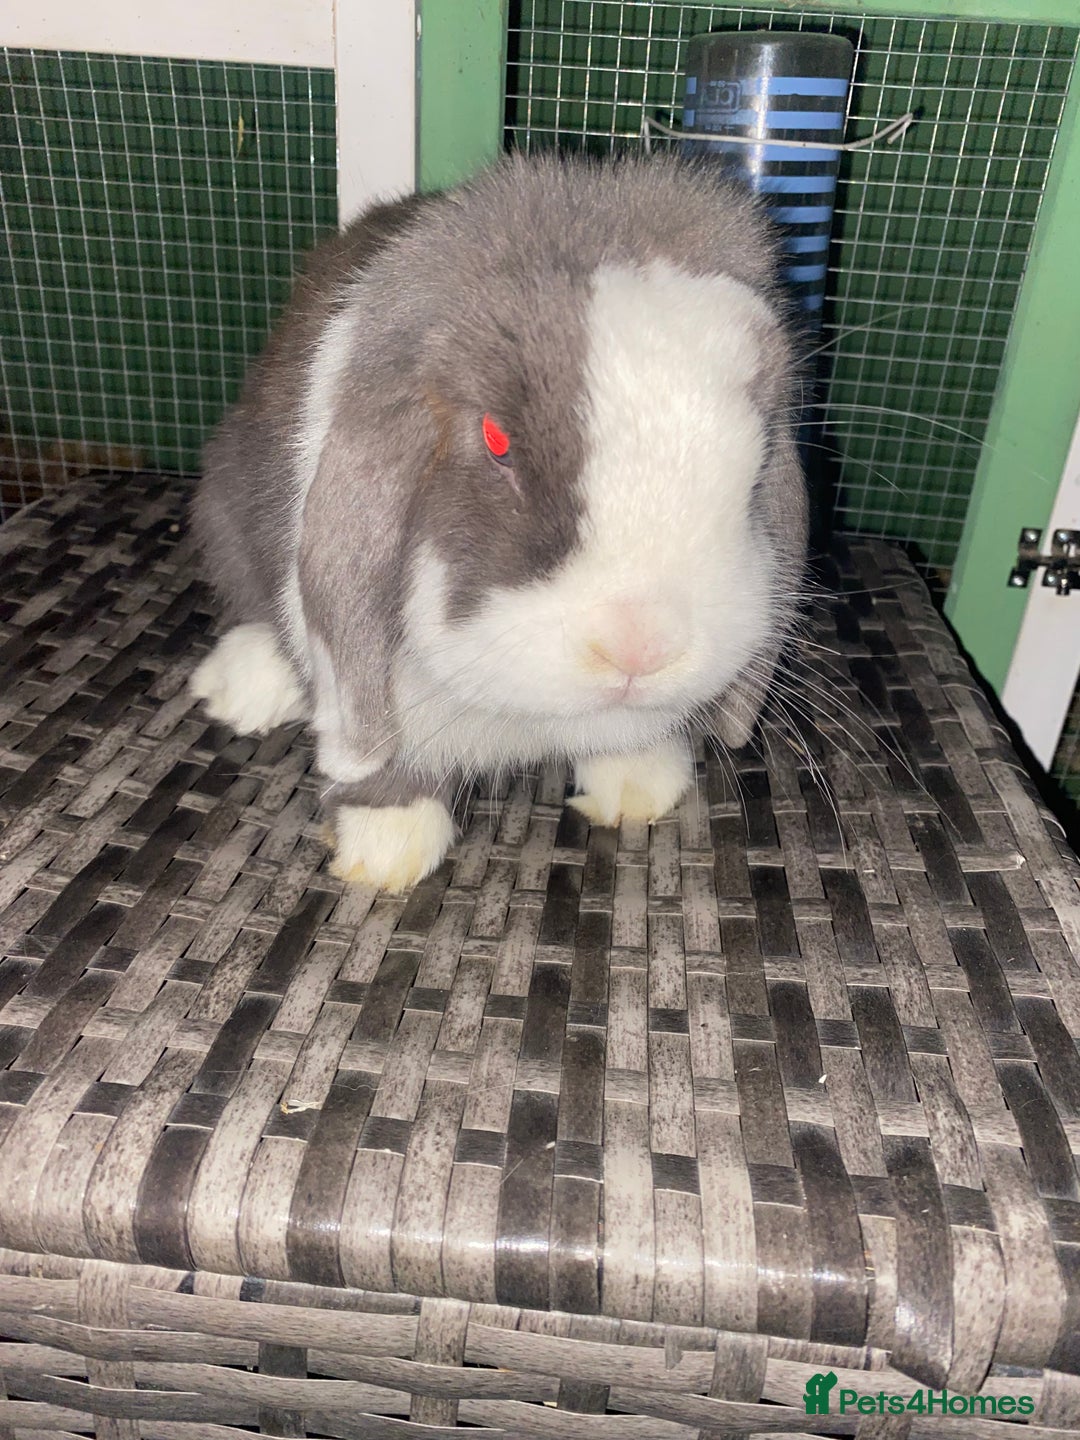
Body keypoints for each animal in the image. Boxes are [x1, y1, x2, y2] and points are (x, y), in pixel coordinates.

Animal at [189, 150, 808, 891]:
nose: (641, 648)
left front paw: (639, 786)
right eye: (496, 439)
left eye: (758, 458)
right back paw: (240, 687)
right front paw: (387, 846)